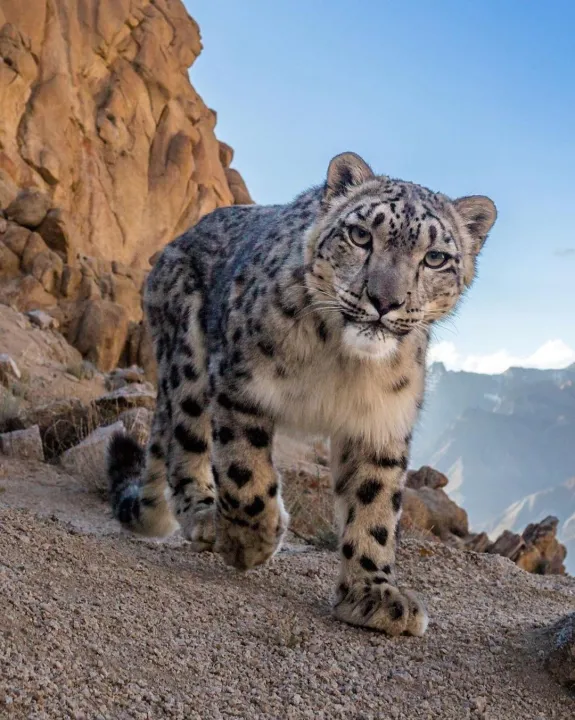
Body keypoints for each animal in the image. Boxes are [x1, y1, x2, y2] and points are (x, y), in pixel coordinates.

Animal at [107, 151, 497, 636]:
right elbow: (246, 474)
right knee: (185, 439)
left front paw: (373, 594)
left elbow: (374, 504)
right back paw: (204, 515)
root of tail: (173, 245)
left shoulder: (381, 421)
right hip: (188, 363)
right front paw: (250, 543)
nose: (384, 301)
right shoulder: (241, 385)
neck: (343, 363)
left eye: (436, 258)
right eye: (360, 235)